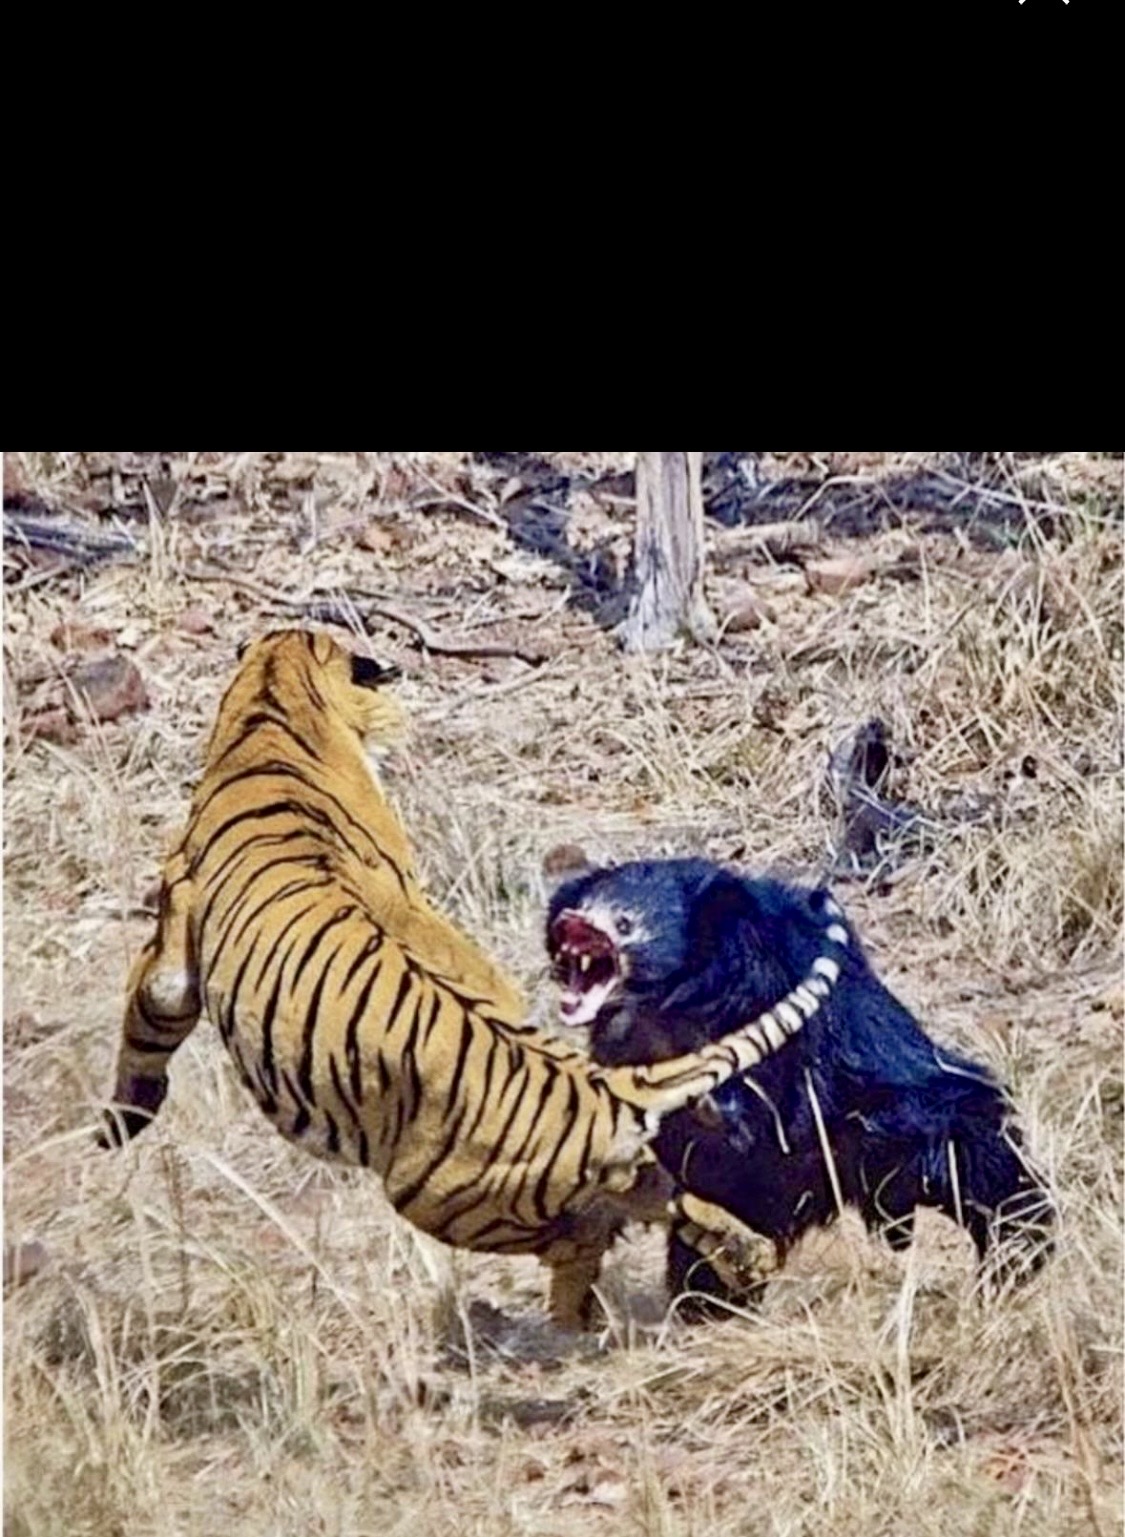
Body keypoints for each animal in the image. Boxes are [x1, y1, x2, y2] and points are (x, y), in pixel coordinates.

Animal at [100, 629, 851, 1327]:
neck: (276, 701)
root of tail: (602, 1085)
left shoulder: (173, 944)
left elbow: (148, 1017)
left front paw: (121, 1124)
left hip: (438, 1197)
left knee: (585, 1236)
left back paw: (570, 1319)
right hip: (600, 1172)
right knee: (671, 1198)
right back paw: (739, 1256)